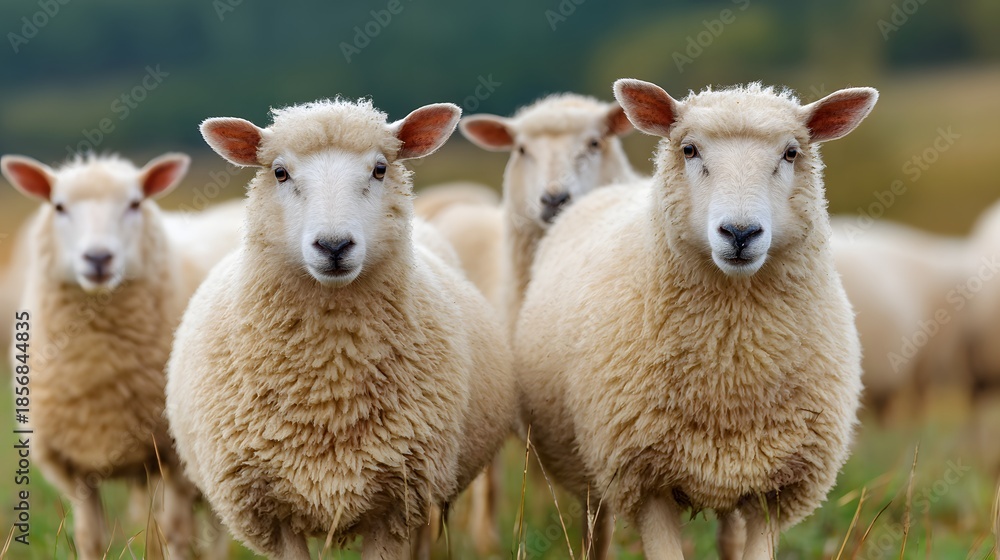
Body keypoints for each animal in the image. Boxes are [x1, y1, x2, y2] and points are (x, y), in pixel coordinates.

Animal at [1, 152, 236, 560]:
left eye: (135, 203)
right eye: (59, 206)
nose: (98, 257)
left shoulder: (176, 459)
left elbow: (175, 534)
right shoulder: (76, 465)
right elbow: (90, 537)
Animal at [165, 98, 516, 559]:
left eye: (380, 169)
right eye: (279, 172)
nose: (333, 246)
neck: (329, 387)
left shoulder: (398, 504)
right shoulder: (269, 510)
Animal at [513, 79, 877, 560]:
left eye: (791, 153)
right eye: (689, 149)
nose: (740, 233)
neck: (732, 366)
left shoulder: (777, 485)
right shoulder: (642, 478)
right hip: (591, 470)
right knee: (598, 528)